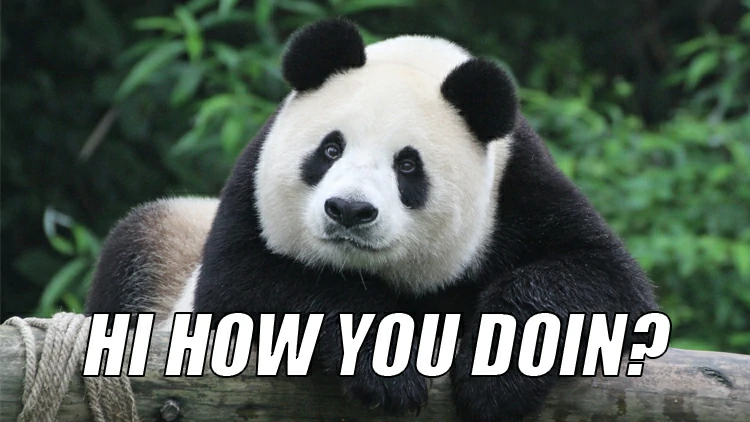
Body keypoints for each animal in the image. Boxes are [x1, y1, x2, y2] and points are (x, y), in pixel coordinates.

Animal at [86, 18, 659, 422]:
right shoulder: (248, 190)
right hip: (170, 237)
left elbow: (602, 278)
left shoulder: (520, 186)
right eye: (330, 149)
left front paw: (495, 381)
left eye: (407, 165)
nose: (350, 210)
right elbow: (245, 282)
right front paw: (389, 371)